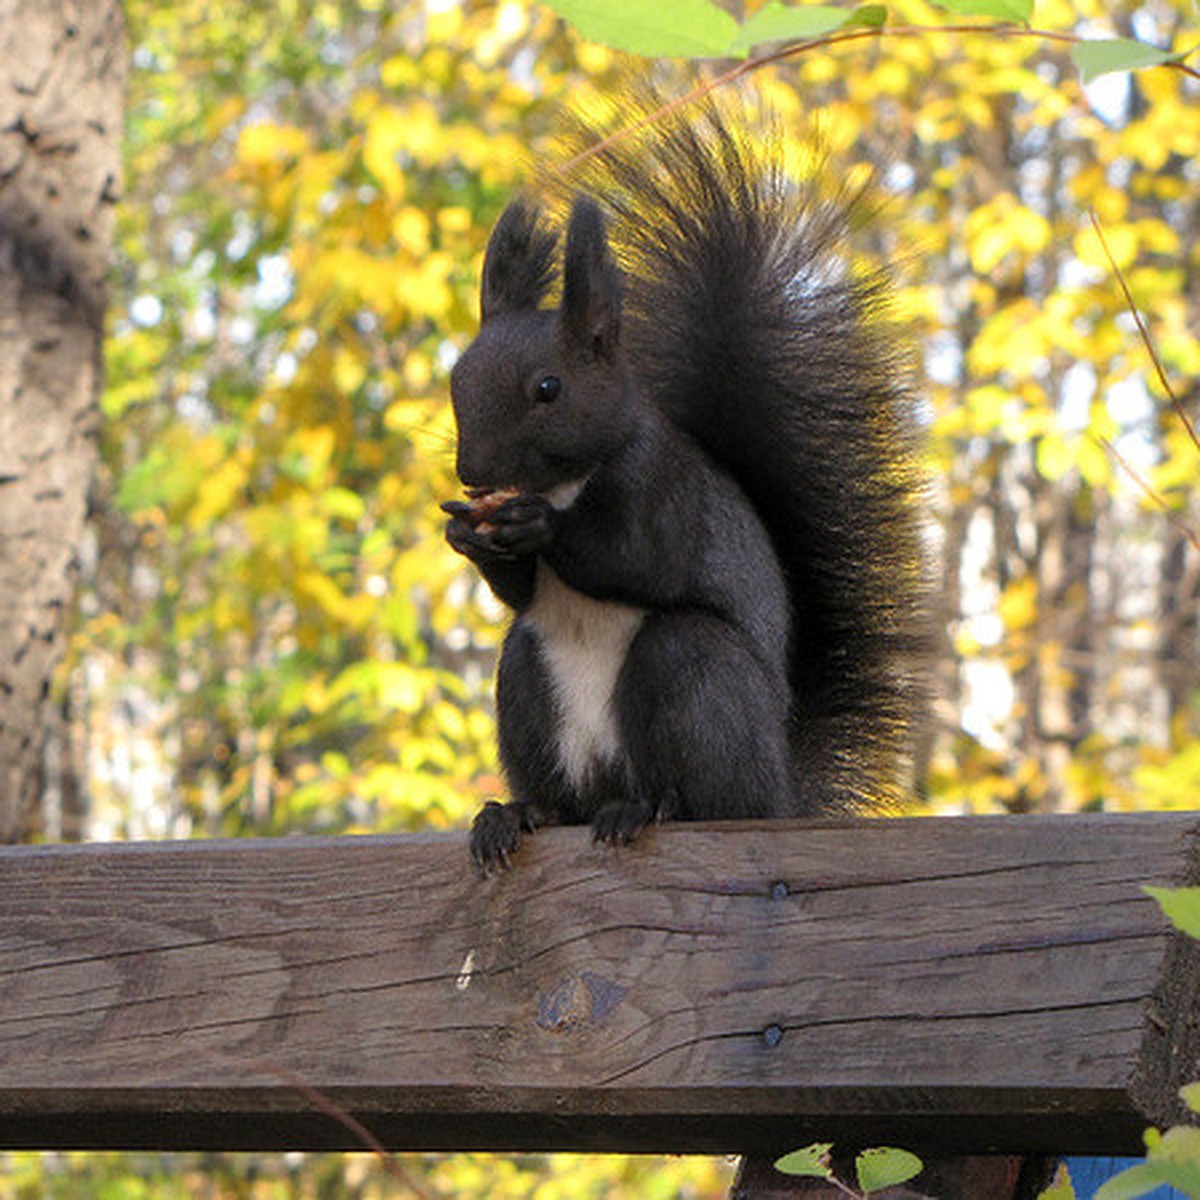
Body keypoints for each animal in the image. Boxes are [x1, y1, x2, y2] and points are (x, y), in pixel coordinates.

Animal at [441, 87, 926, 873]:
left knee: (702, 792)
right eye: (456, 377)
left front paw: (535, 527)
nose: (473, 472)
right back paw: (518, 814)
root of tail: (782, 794)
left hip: (695, 676)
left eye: (548, 388)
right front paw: (469, 535)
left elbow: (640, 562)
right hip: (527, 688)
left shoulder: (663, 491)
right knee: (561, 793)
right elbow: (517, 592)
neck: (568, 481)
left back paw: (649, 808)